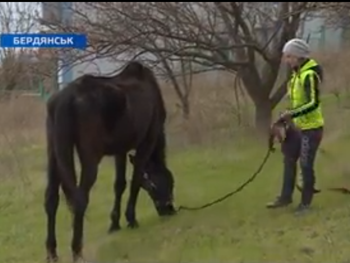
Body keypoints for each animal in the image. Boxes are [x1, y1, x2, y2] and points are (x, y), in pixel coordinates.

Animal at [44, 61, 175, 262]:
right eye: (167, 184)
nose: (169, 209)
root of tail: (65, 100)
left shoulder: (120, 150)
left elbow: (119, 184)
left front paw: (114, 223)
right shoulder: (146, 142)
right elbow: (136, 180)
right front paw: (131, 219)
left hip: (54, 155)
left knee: (51, 198)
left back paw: (52, 252)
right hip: (90, 157)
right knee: (80, 199)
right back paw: (77, 250)